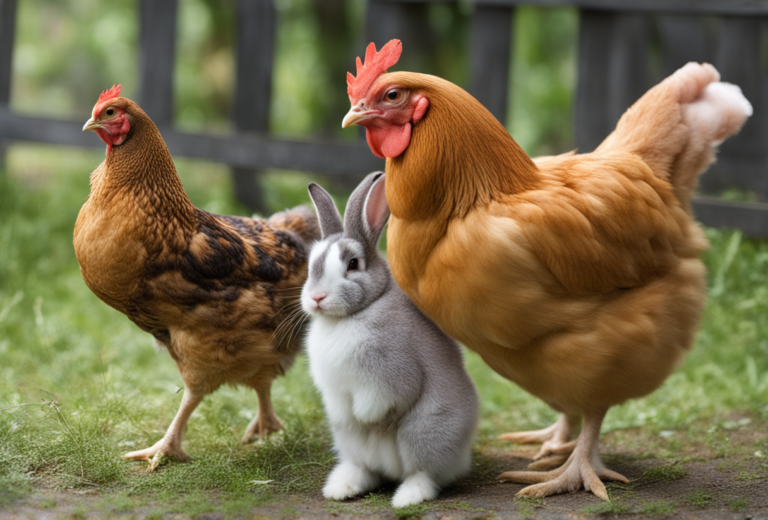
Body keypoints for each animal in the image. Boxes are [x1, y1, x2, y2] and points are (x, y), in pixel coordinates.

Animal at [301, 172, 479, 508]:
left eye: (353, 264)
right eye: (310, 265)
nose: (317, 298)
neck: (351, 316)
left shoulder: (390, 376)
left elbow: (378, 403)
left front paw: (365, 417)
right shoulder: (333, 388)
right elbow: (341, 408)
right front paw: (347, 415)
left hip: (424, 432)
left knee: (424, 473)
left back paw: (407, 496)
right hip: (350, 443)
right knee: (367, 469)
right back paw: (342, 488)